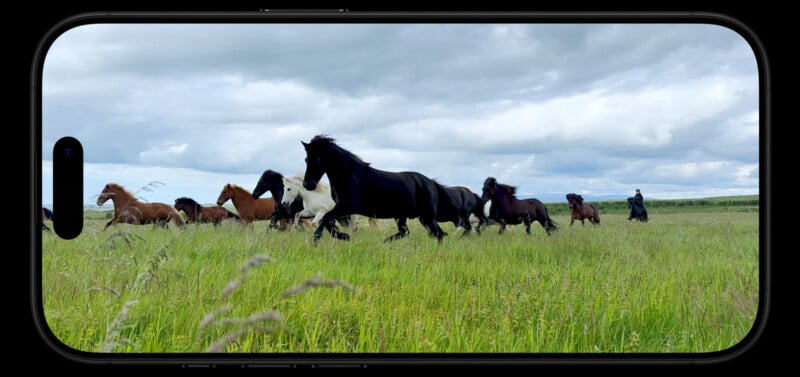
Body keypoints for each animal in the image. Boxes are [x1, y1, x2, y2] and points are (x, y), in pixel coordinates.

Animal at [302, 134, 450, 242]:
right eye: (306, 159)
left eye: (318, 159)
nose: (308, 184)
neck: (349, 175)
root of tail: (431, 182)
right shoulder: (342, 209)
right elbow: (328, 220)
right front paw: (342, 236)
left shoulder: (347, 206)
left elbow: (326, 218)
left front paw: (324, 238)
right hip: (406, 216)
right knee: (406, 232)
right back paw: (385, 243)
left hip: (426, 216)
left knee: (439, 234)